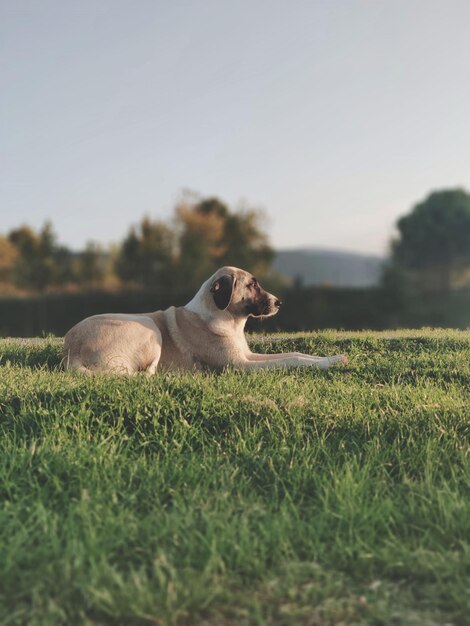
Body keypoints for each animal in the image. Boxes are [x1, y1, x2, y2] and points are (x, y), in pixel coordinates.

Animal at [62, 266, 346, 372]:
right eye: (252, 285)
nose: (279, 302)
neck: (227, 321)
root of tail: (71, 350)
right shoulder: (240, 365)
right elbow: (290, 360)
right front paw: (326, 363)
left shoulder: (248, 355)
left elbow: (296, 354)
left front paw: (333, 359)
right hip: (148, 326)